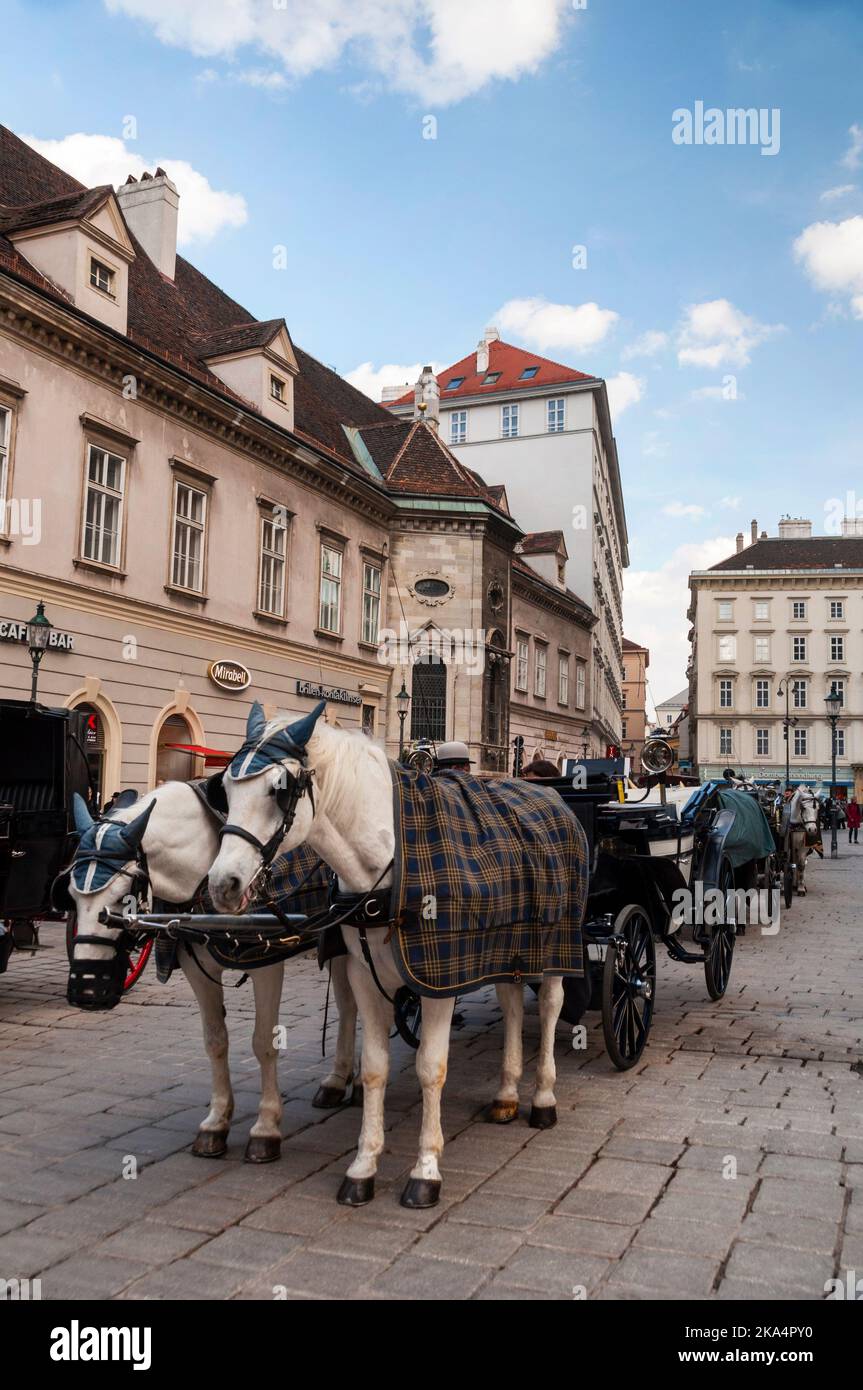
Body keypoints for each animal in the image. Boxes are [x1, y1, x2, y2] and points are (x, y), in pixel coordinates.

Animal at [64, 783, 355, 1162]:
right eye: (70, 894)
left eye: (122, 897)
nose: (87, 990)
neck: (207, 867)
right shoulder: (195, 967)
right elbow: (215, 1041)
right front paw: (216, 1123)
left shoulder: (266, 961)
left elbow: (264, 1043)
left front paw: (266, 1128)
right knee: (351, 1007)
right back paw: (340, 1080)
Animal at [208, 700, 578, 1212]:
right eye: (224, 789)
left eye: (277, 790)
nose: (222, 885)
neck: (387, 863)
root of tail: (547, 794)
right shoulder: (365, 975)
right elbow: (375, 1069)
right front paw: (364, 1165)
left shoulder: (438, 979)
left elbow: (431, 1068)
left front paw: (426, 1170)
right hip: (505, 947)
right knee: (509, 1005)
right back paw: (506, 1093)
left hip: (556, 944)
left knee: (548, 1007)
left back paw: (542, 1098)